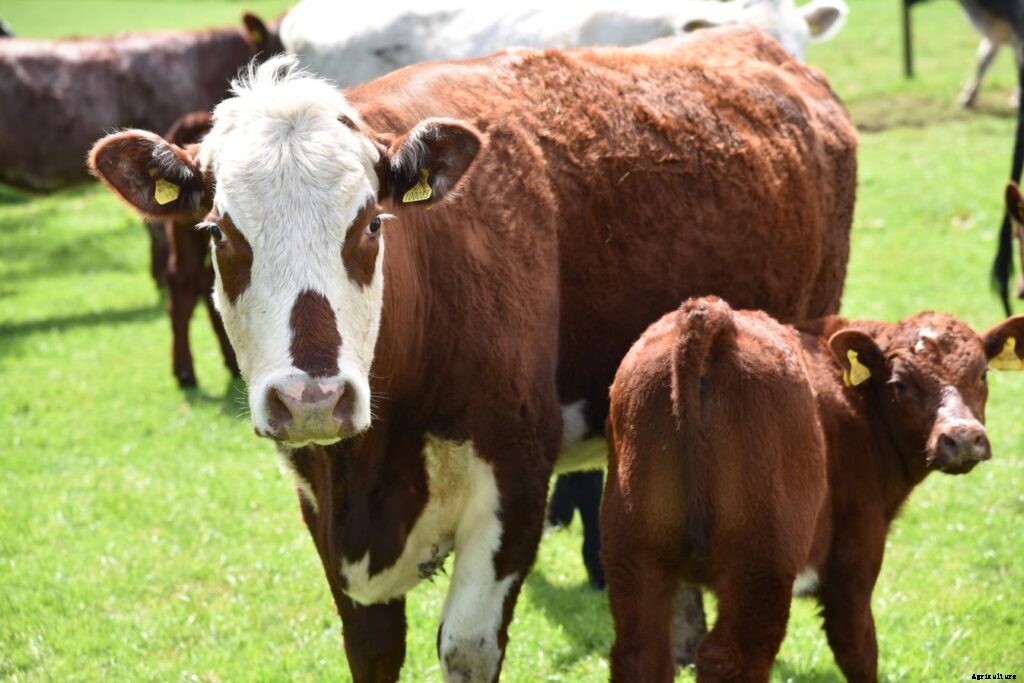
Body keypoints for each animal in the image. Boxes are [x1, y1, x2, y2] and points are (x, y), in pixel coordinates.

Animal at [87, 29, 857, 680]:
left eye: (371, 224)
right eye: (220, 231)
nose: (313, 397)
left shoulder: (515, 476)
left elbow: (466, 647)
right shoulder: (319, 500)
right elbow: (371, 650)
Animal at [603, 295, 1023, 682]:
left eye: (983, 374)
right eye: (900, 382)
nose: (963, 438)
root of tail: (709, 315)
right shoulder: (854, 556)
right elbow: (858, 648)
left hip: (636, 556)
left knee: (640, 654)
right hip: (763, 565)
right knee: (731, 657)